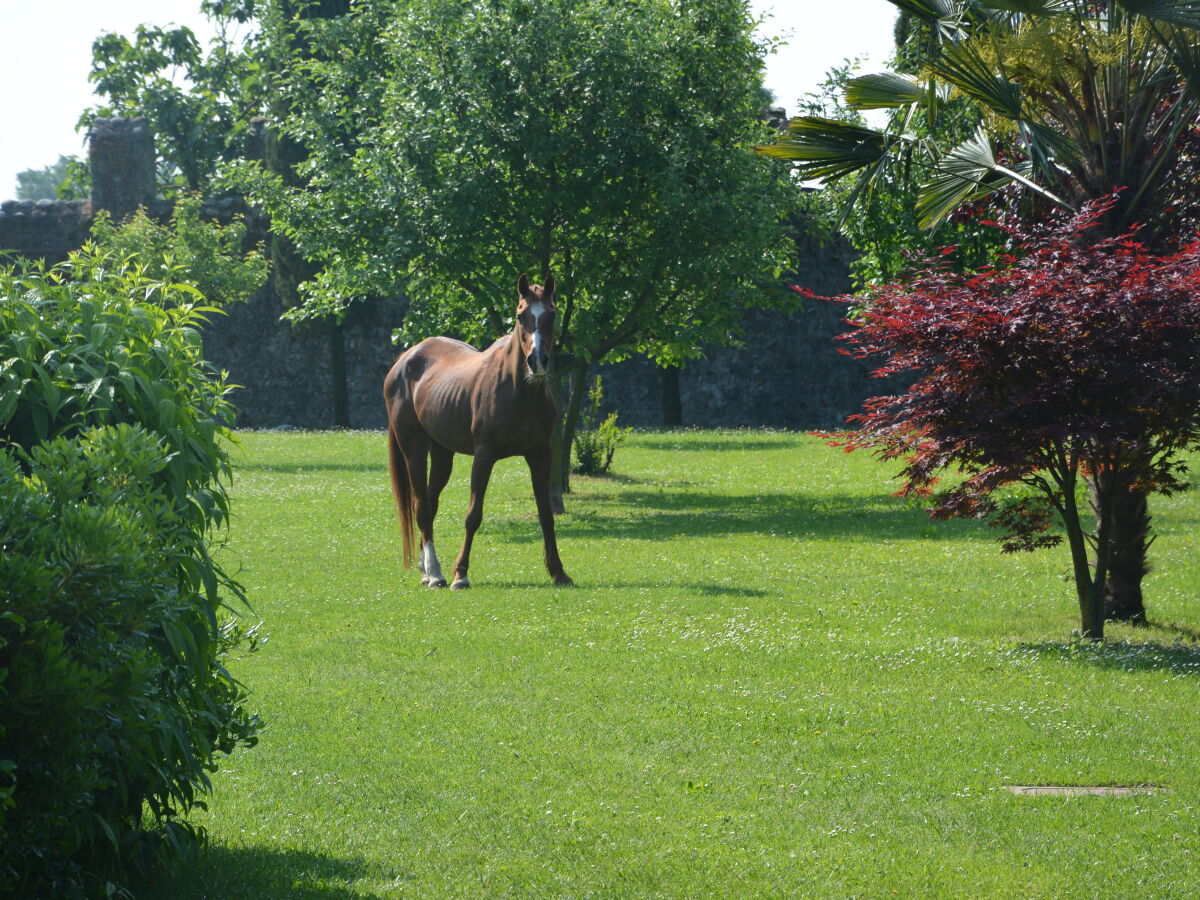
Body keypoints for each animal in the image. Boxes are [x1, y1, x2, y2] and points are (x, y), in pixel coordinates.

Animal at [384, 274, 571, 592]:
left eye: (552, 314)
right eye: (521, 316)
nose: (537, 361)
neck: (519, 391)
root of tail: (404, 360)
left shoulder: (540, 454)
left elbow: (546, 514)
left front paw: (558, 572)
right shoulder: (484, 456)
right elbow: (473, 515)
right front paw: (461, 574)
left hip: (442, 454)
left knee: (430, 504)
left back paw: (426, 570)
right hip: (414, 450)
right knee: (421, 507)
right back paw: (436, 574)